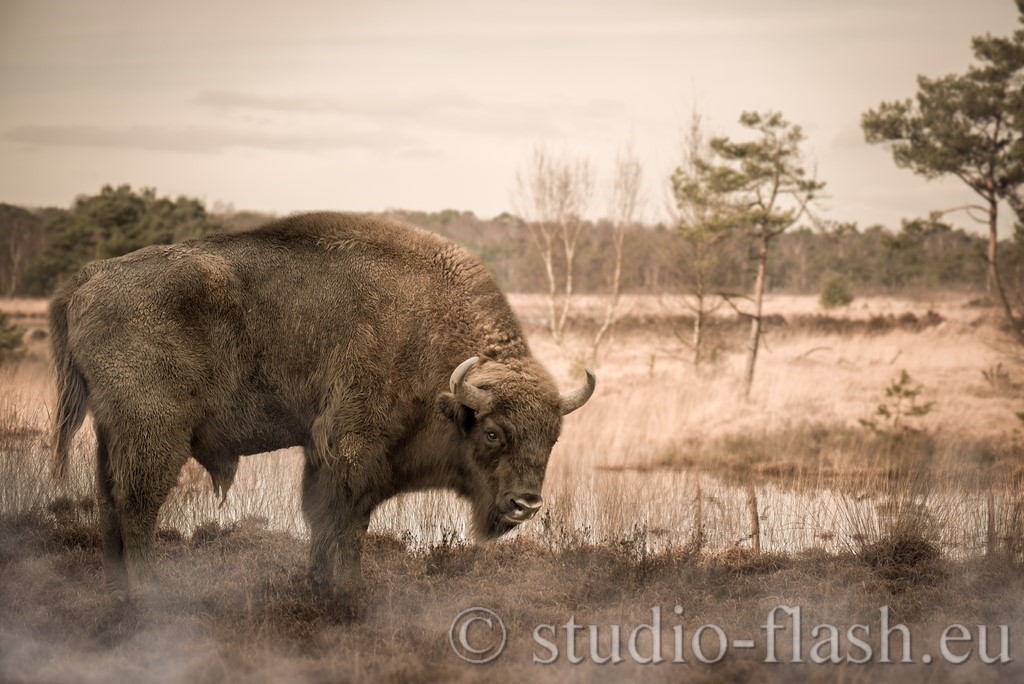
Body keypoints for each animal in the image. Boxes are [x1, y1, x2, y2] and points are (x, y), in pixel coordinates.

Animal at [50, 212, 595, 609]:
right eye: (493, 432)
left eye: (552, 437)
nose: (527, 503)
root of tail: (89, 277)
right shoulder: (356, 451)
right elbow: (347, 521)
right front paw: (348, 593)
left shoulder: (323, 454)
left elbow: (321, 518)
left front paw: (318, 585)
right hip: (155, 434)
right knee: (136, 503)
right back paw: (147, 593)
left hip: (111, 431)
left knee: (107, 500)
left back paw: (117, 589)